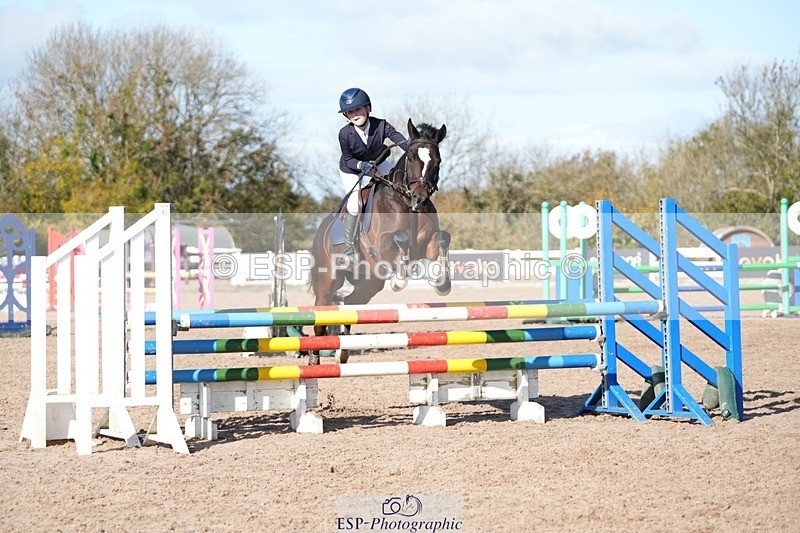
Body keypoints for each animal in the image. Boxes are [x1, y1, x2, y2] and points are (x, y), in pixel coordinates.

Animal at [307, 119, 451, 364]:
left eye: (437, 160)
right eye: (411, 156)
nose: (420, 199)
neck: (405, 202)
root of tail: (321, 232)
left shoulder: (427, 246)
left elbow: (443, 238)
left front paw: (442, 283)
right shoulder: (383, 247)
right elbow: (401, 238)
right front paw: (399, 280)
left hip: (369, 283)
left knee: (351, 304)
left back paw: (342, 352)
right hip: (327, 282)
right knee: (321, 316)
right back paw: (314, 361)